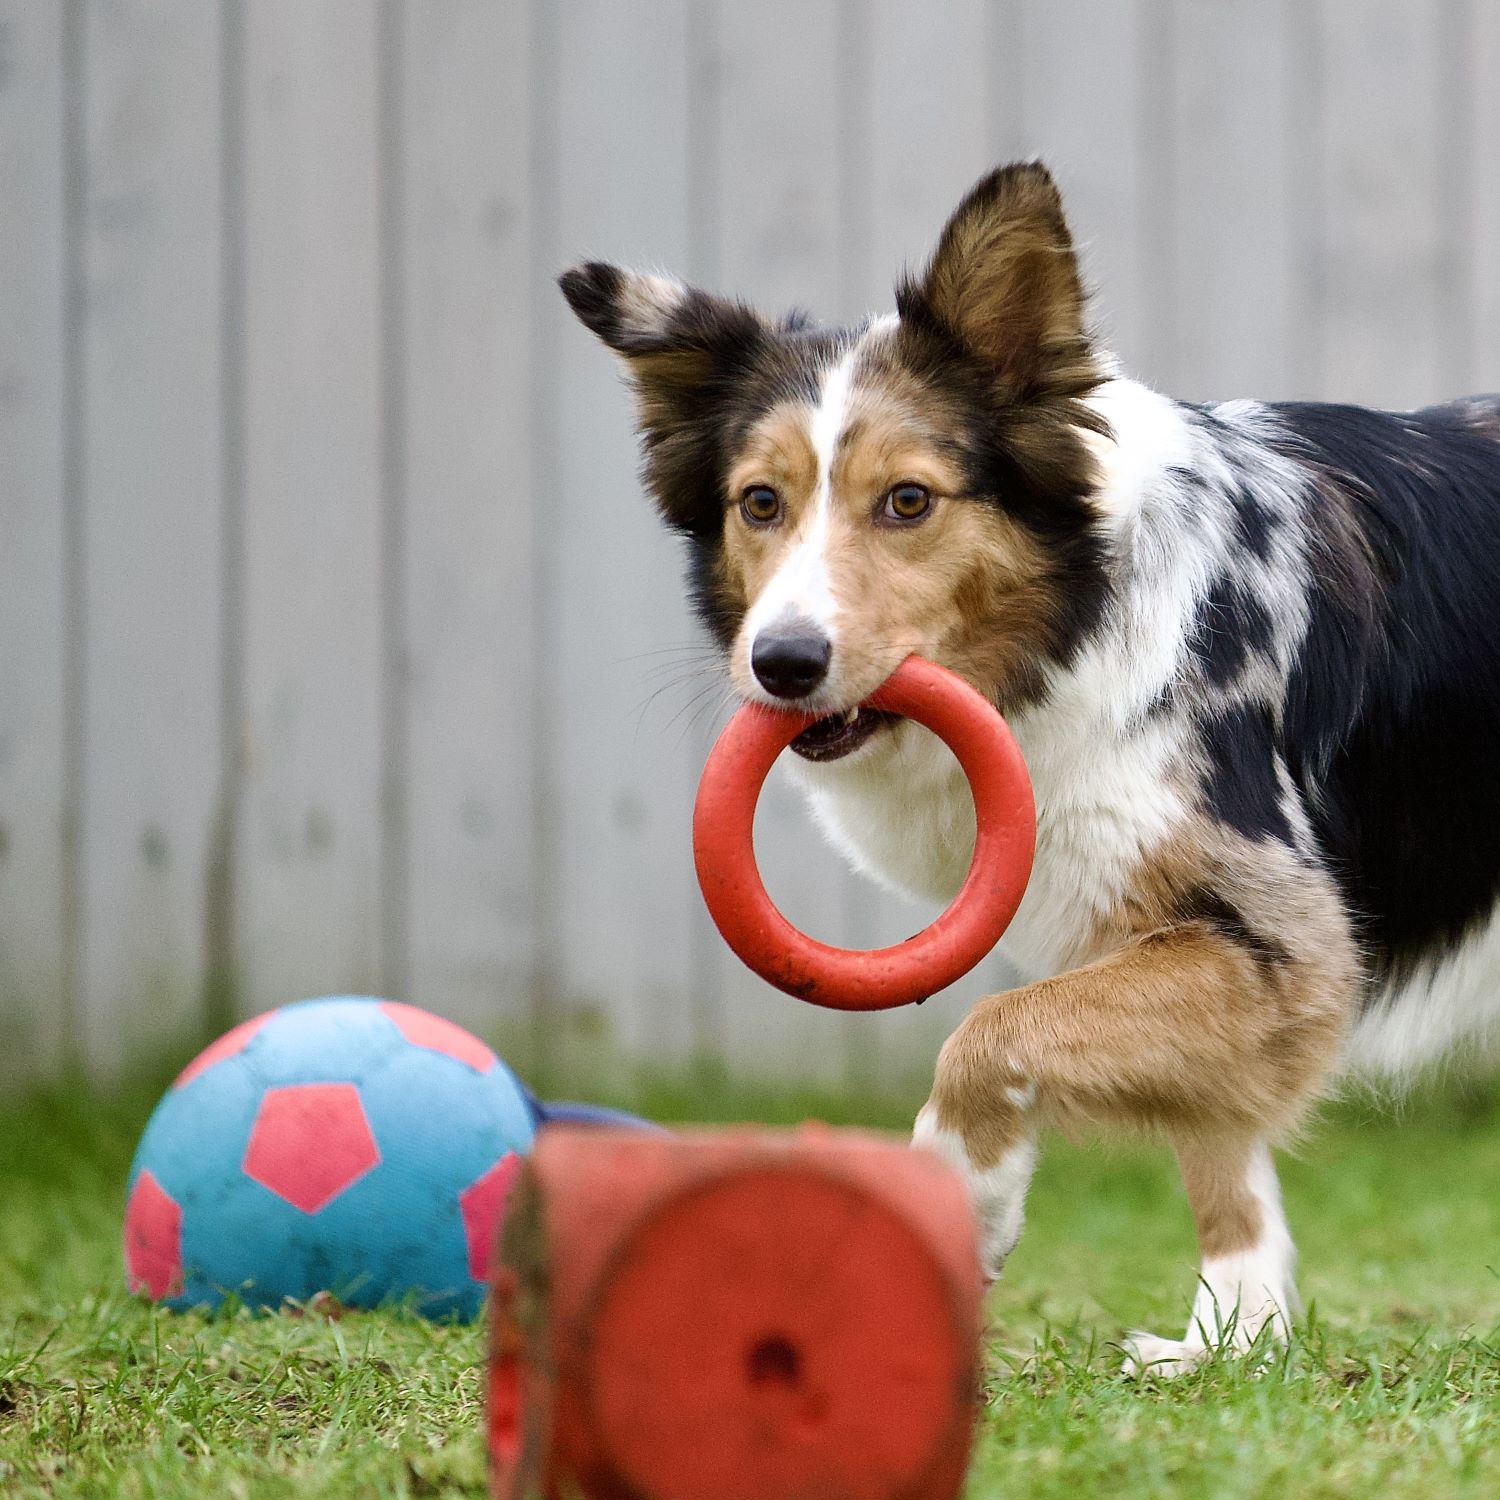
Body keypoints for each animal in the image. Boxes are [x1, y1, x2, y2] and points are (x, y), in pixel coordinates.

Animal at [561, 161, 1500, 1374]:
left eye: (909, 500)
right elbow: (1223, 1154)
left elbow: (990, 1032)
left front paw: (964, 1198)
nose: (783, 663)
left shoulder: (1283, 939)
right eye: (759, 503)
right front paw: (1232, 1342)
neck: (1079, 625)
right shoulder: (1181, 938)